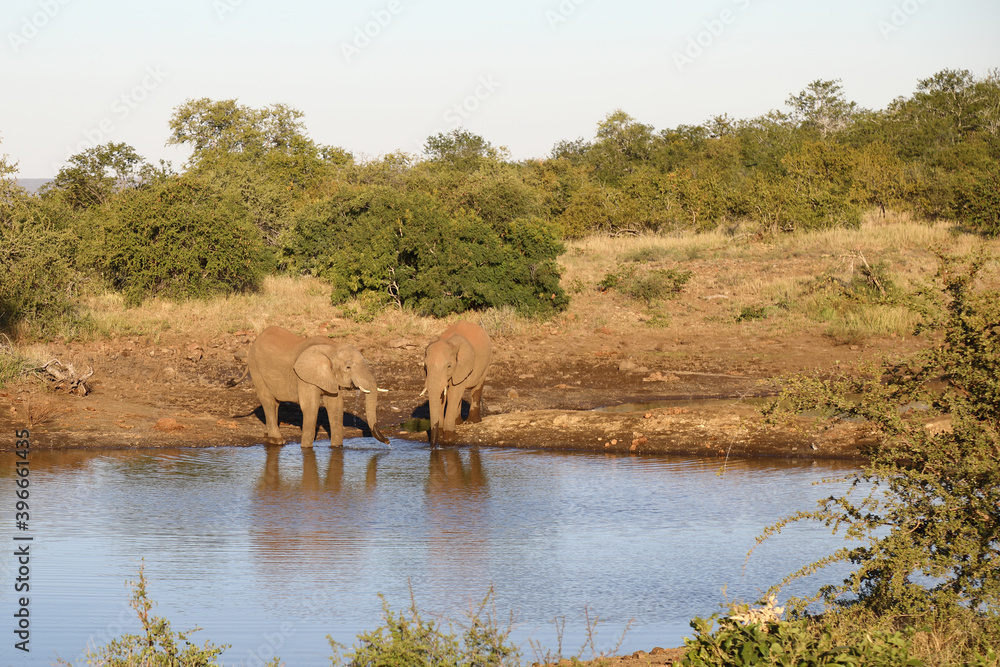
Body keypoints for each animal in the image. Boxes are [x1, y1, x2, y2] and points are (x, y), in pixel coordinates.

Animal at [241, 326, 390, 448]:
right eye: (348, 367)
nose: (388, 441)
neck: (332, 347)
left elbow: (335, 405)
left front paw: (336, 448)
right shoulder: (304, 376)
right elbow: (310, 406)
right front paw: (306, 449)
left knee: (275, 403)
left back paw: (267, 436)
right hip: (255, 366)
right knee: (268, 401)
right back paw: (277, 441)